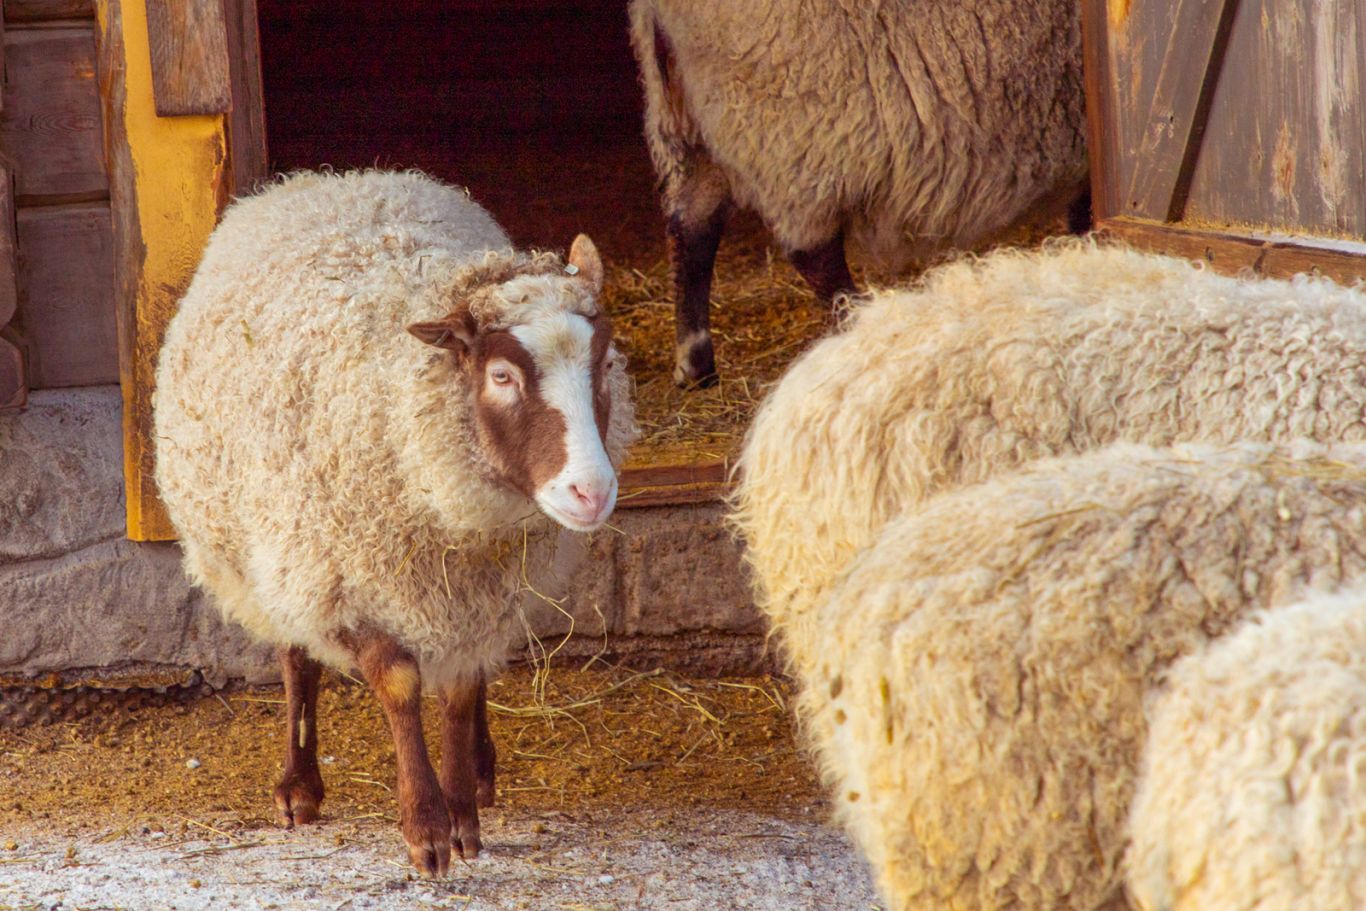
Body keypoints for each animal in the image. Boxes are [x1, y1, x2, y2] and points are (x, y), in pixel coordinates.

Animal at [153, 169, 639, 874]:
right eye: (501, 375)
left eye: (604, 365)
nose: (592, 490)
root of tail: (335, 179)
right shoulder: (343, 580)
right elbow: (400, 683)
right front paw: (427, 829)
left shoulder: (477, 584)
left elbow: (460, 690)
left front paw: (463, 813)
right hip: (276, 554)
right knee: (297, 658)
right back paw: (299, 786)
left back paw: (483, 767)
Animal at [628, 0, 1087, 387]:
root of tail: (657, 12)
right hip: (790, 114)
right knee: (811, 251)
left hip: (682, 119)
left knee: (691, 226)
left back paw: (694, 361)